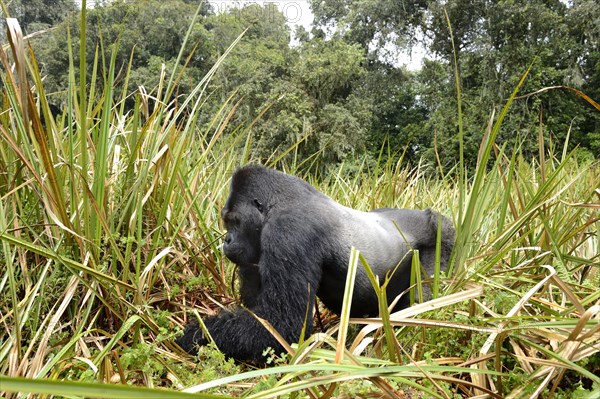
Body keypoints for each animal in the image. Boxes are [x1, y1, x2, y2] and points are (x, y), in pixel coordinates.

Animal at [176, 165, 458, 362]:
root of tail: (429, 214)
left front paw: (193, 336)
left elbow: (281, 324)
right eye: (226, 222)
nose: (227, 240)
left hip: (441, 236)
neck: (279, 203)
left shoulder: (287, 232)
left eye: (233, 221)